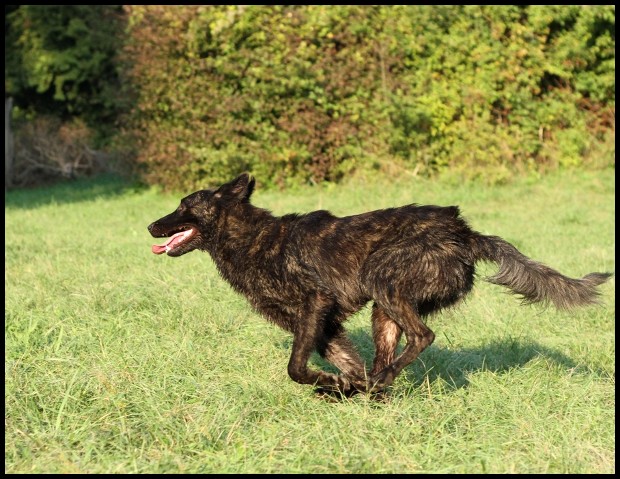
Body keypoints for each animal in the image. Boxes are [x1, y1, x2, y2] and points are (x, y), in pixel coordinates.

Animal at [148, 174, 612, 396]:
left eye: (184, 206)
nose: (151, 225)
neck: (250, 239)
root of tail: (466, 234)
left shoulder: (316, 302)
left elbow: (295, 367)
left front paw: (331, 385)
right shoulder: (324, 325)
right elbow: (342, 363)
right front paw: (339, 386)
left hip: (384, 280)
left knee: (422, 336)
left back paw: (379, 381)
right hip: (383, 311)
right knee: (387, 358)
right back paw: (372, 389)